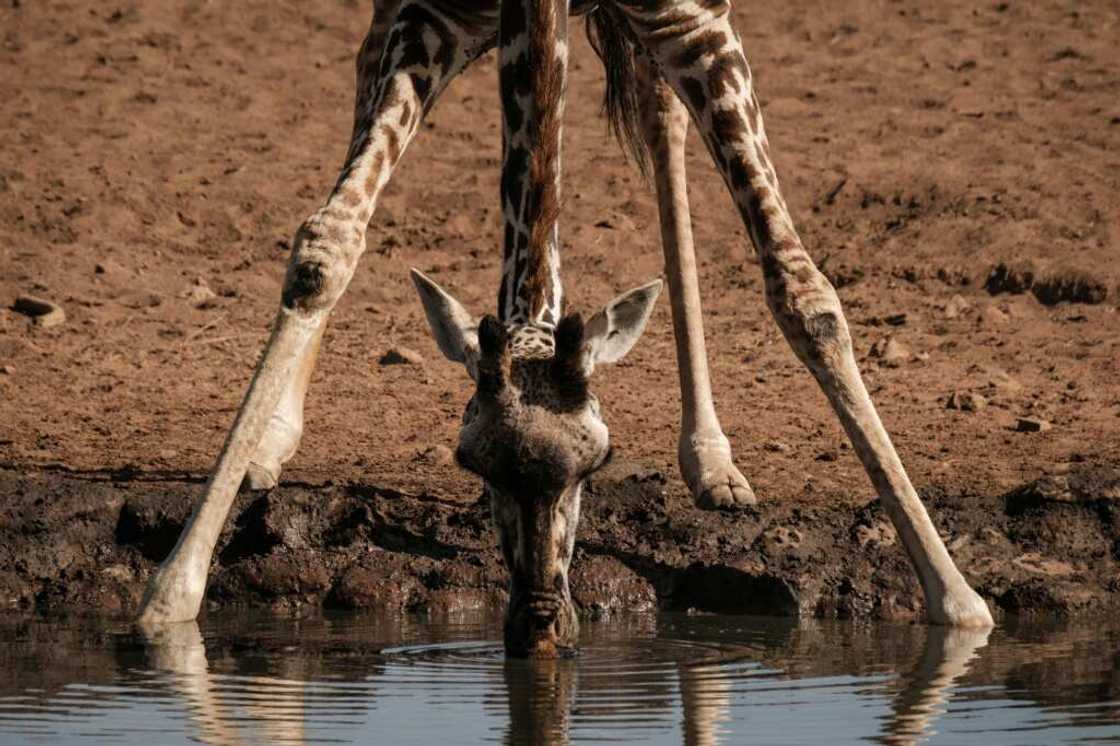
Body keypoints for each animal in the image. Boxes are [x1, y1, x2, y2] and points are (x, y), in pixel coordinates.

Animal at [137, 0, 995, 649]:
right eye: (469, 463)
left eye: (599, 464)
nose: (539, 626)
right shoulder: (423, 14)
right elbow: (327, 247)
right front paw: (172, 593)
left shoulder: (694, 18)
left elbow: (804, 292)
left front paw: (957, 600)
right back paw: (270, 439)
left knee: (661, 123)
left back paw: (711, 459)